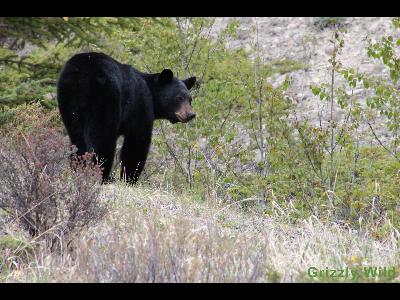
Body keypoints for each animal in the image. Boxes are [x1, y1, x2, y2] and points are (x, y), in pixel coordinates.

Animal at [57, 51, 197, 183]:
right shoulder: (140, 105)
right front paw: (129, 178)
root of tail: (81, 75)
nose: (191, 114)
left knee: (77, 139)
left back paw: (79, 170)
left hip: (68, 102)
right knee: (102, 138)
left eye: (190, 99)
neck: (151, 92)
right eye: (179, 98)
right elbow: (137, 140)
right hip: (105, 99)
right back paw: (103, 176)